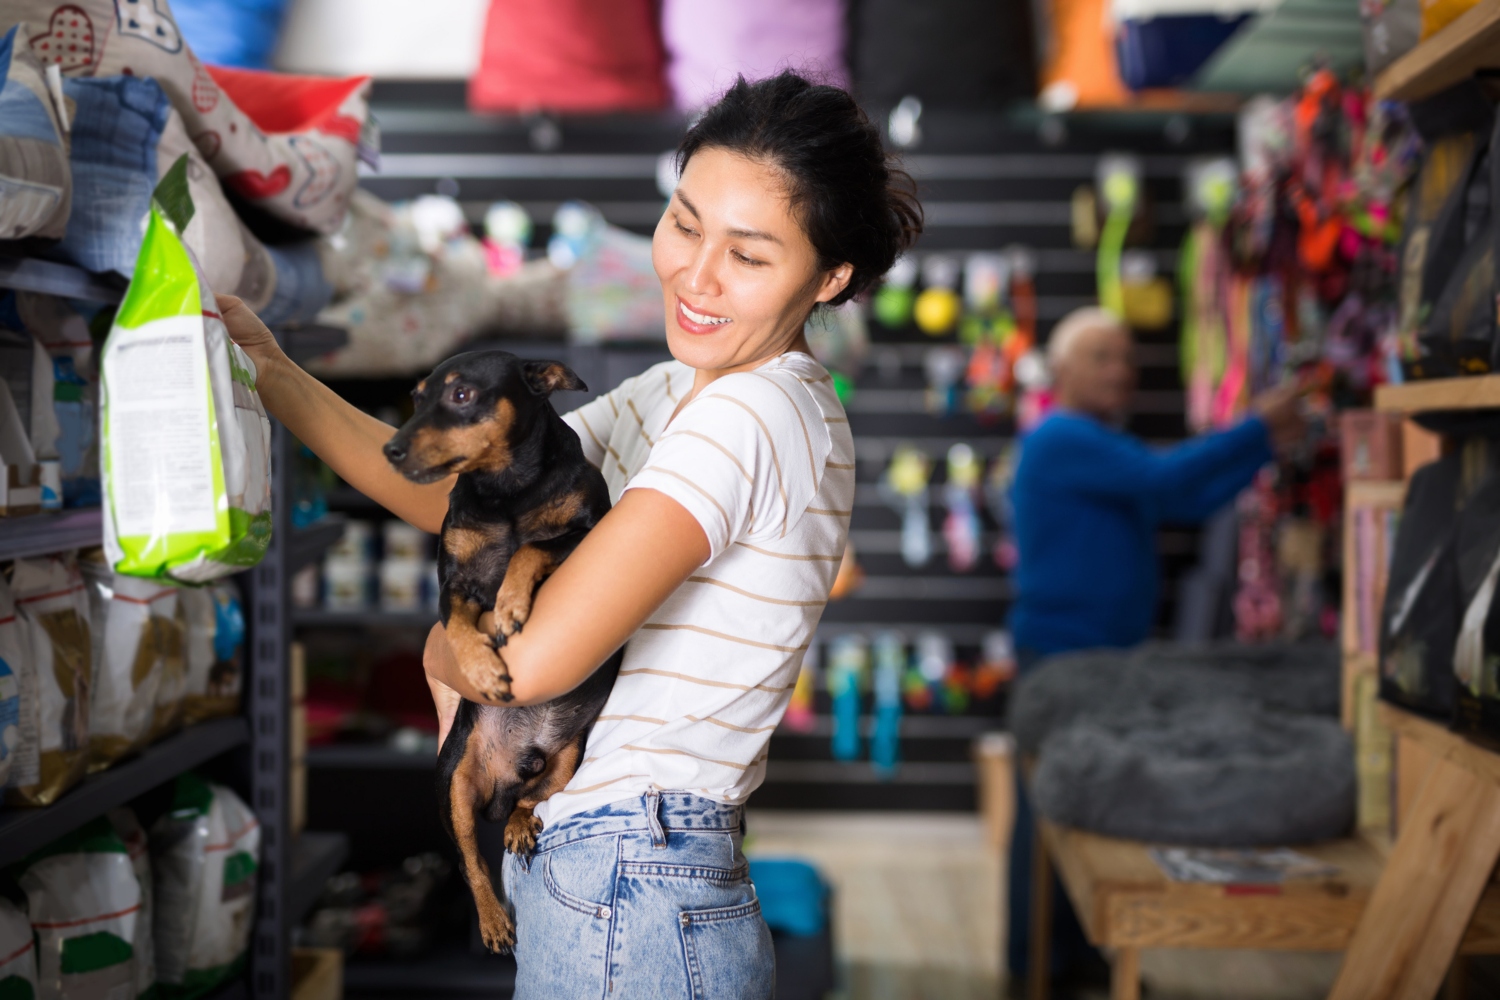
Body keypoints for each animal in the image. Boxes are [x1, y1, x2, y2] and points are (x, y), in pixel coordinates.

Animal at [387, 352, 627, 953]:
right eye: (416, 397)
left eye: (462, 395)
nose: (391, 449)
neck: (506, 489)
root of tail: (501, 784)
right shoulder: (453, 584)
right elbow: (458, 626)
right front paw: (482, 665)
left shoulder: (585, 535)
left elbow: (533, 547)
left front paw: (513, 603)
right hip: (453, 783)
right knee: (471, 859)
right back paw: (494, 921)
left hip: (567, 759)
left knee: (531, 799)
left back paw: (519, 824)